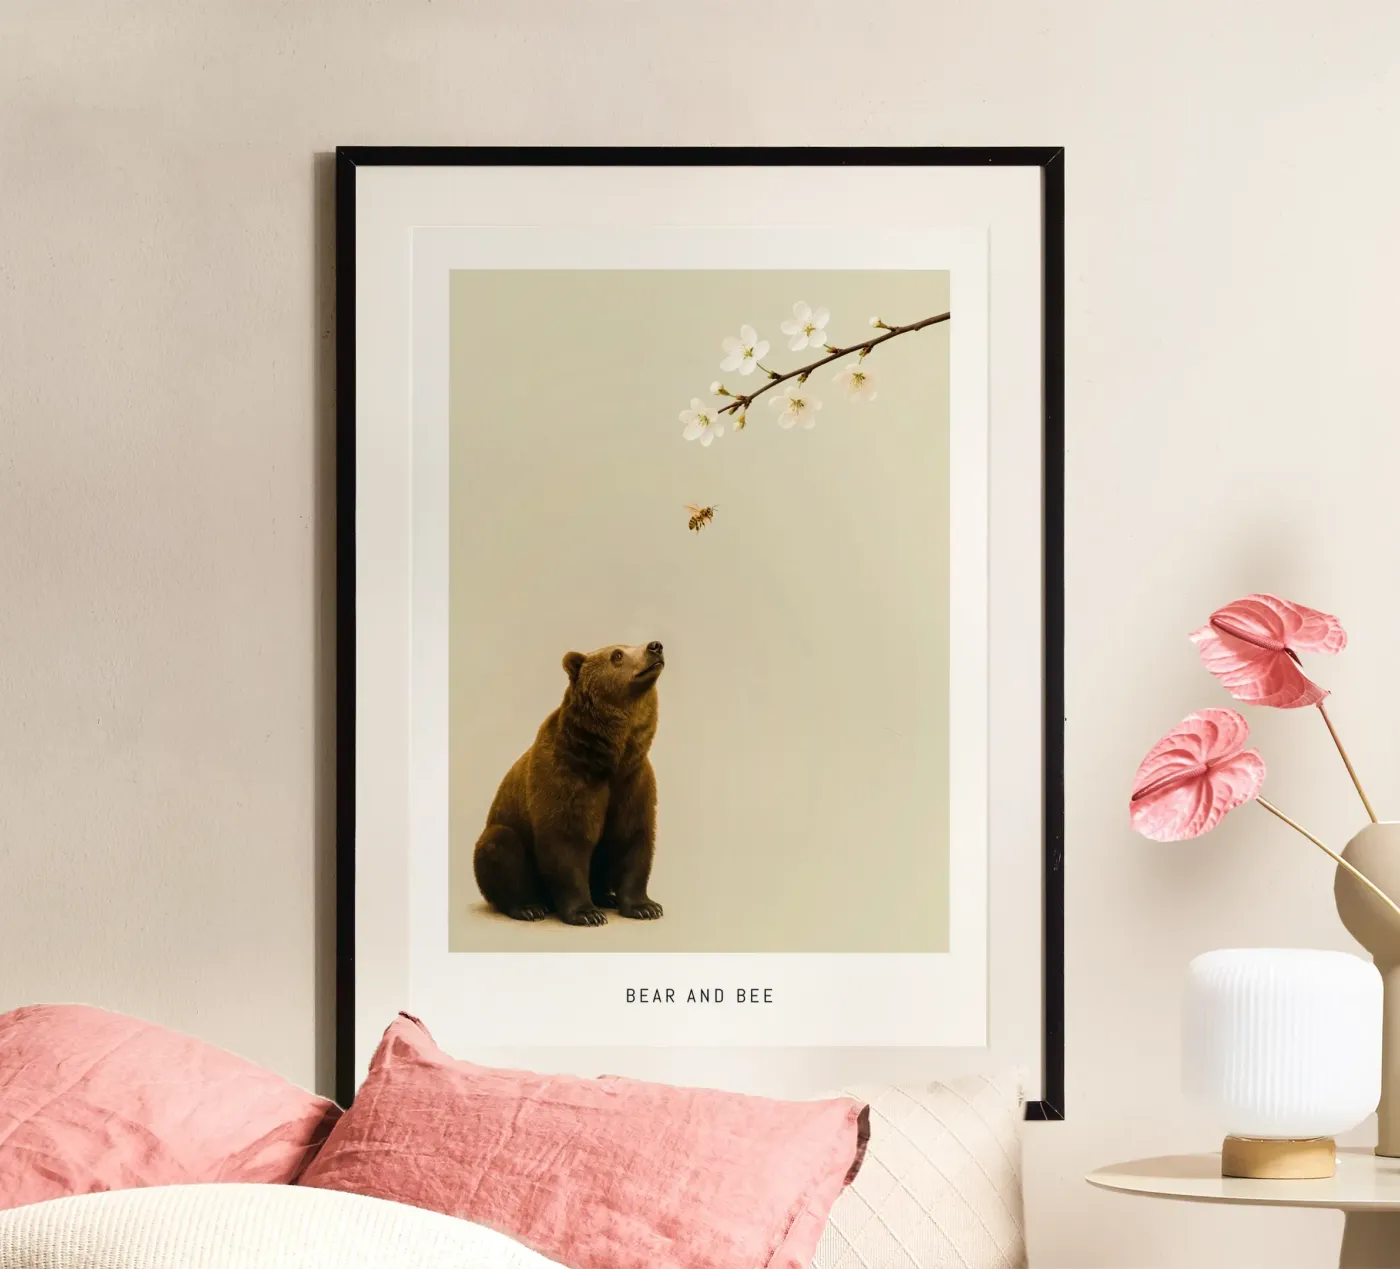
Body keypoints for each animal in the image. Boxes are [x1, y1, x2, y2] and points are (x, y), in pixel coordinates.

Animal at [472, 641, 666, 927]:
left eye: (632, 646)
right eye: (617, 654)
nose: (655, 647)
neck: (609, 757)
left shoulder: (633, 780)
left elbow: (633, 837)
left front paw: (645, 907)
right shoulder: (566, 777)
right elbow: (567, 840)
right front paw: (586, 913)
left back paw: (606, 896)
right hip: (505, 836)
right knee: (500, 844)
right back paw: (528, 906)